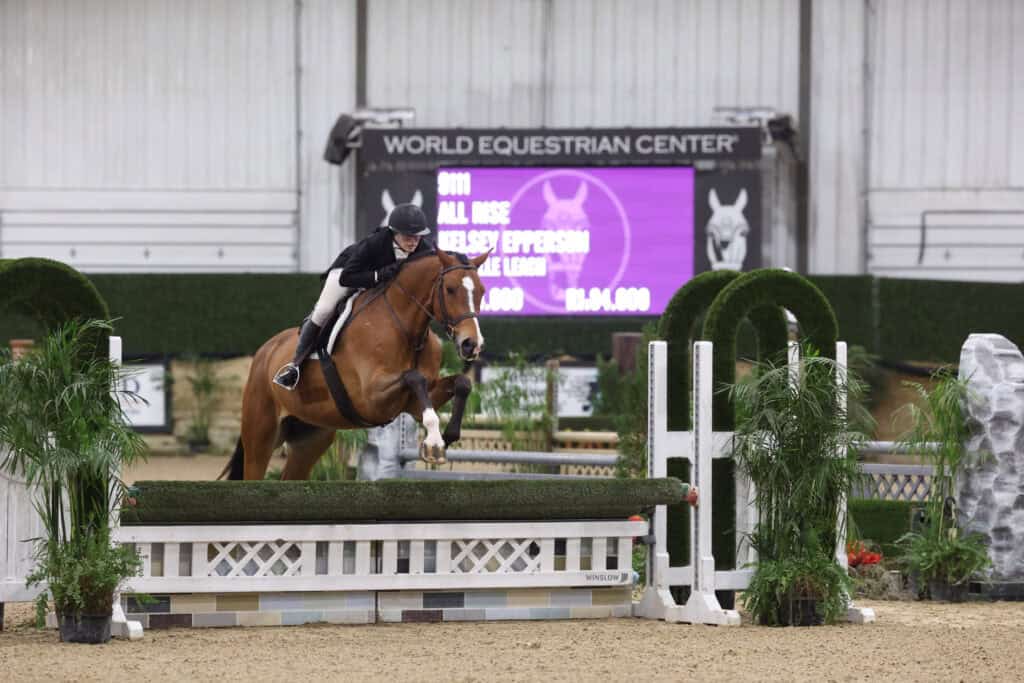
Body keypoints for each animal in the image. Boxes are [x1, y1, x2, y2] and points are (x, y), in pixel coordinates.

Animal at [223, 248, 490, 480]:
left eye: (481, 290)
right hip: (261, 434)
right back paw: (288, 375)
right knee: (253, 470)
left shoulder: (415, 402)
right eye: (450, 289)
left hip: (309, 438)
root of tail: (264, 351)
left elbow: (462, 382)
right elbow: (415, 377)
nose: (471, 344)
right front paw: (434, 443)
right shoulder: (371, 399)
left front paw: (448, 436)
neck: (407, 330)